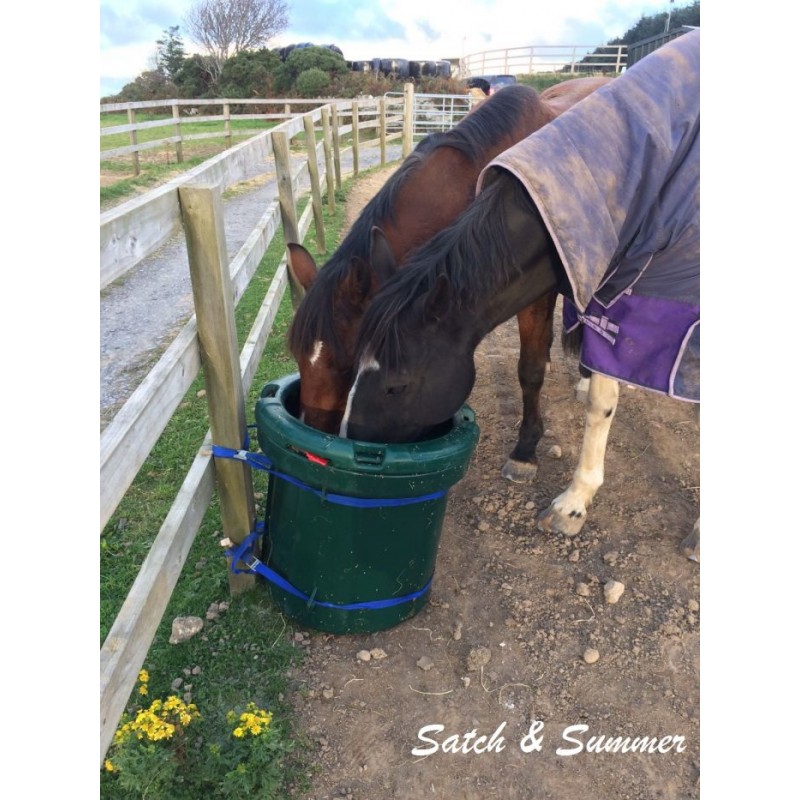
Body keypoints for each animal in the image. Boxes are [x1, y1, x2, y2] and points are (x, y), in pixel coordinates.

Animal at [286, 77, 611, 482]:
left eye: (346, 364)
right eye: (298, 357)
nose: (312, 434)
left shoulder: (536, 293)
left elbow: (530, 370)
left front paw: (524, 451)